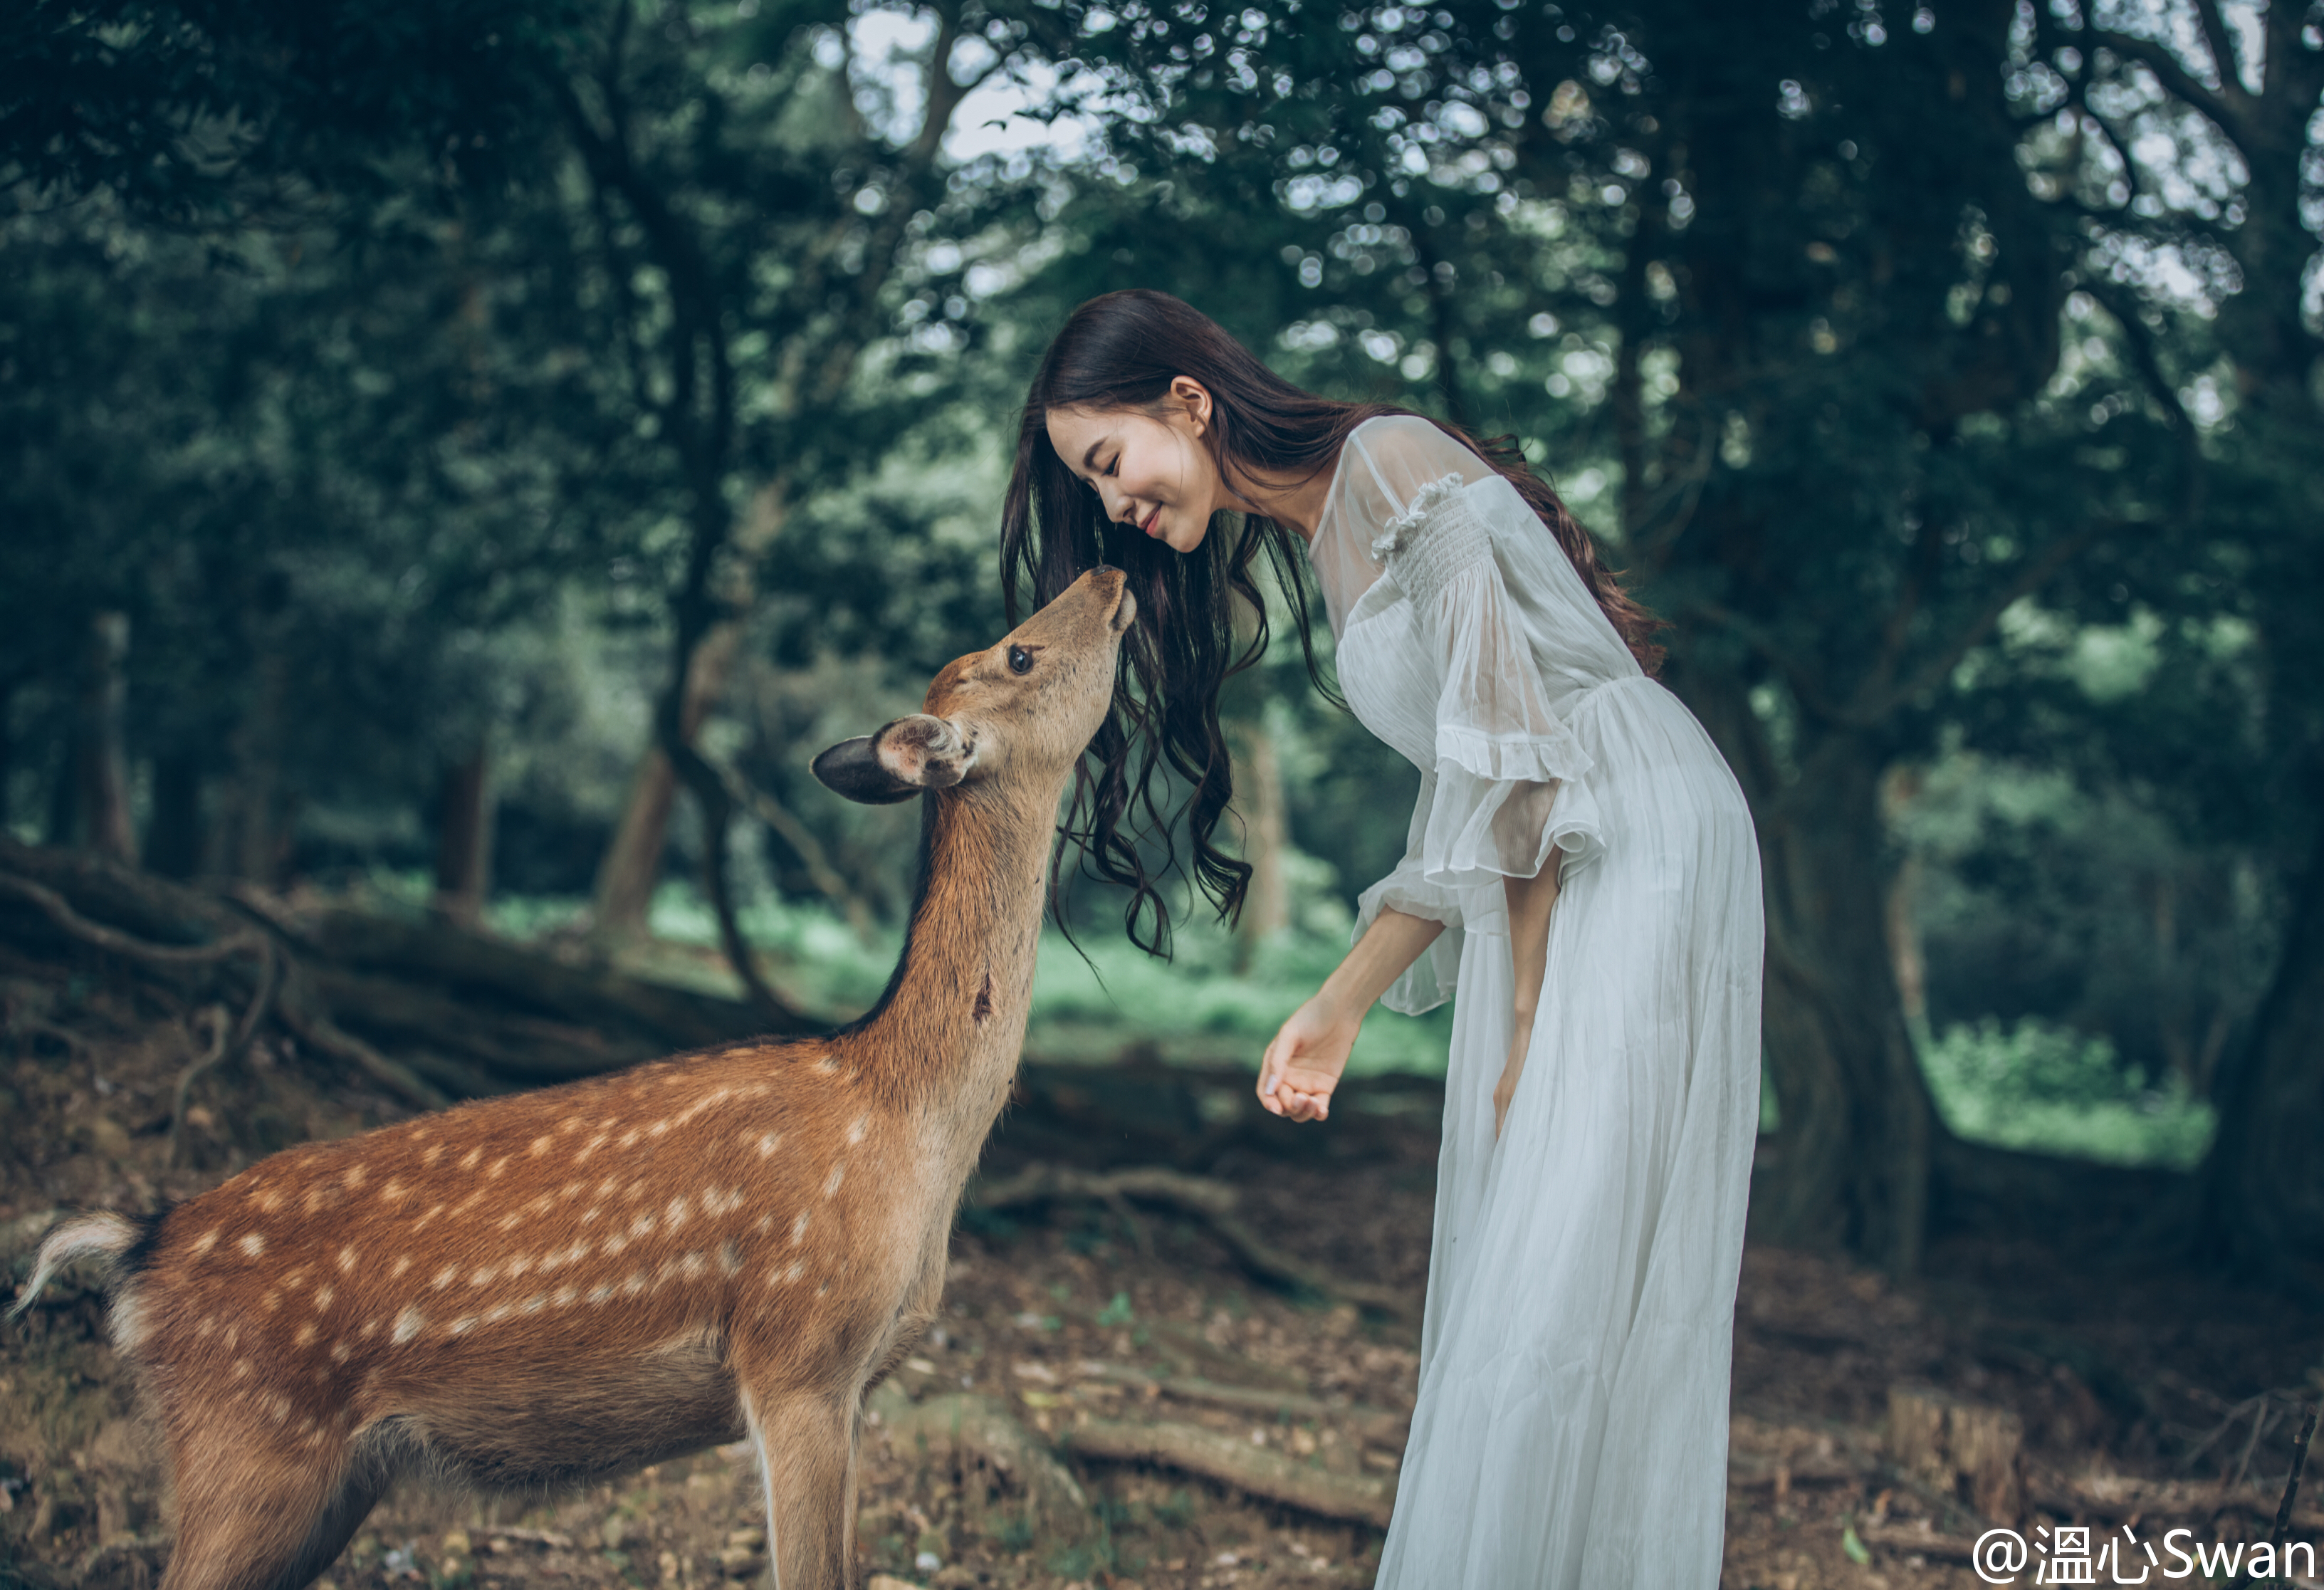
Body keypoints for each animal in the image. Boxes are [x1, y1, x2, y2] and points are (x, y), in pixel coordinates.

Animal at [9, 565, 1134, 1580]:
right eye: (1019, 652)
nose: (1112, 569)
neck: (909, 1121)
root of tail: (136, 1252)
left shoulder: (855, 1382)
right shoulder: (797, 1353)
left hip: (330, 1477)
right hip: (248, 1444)